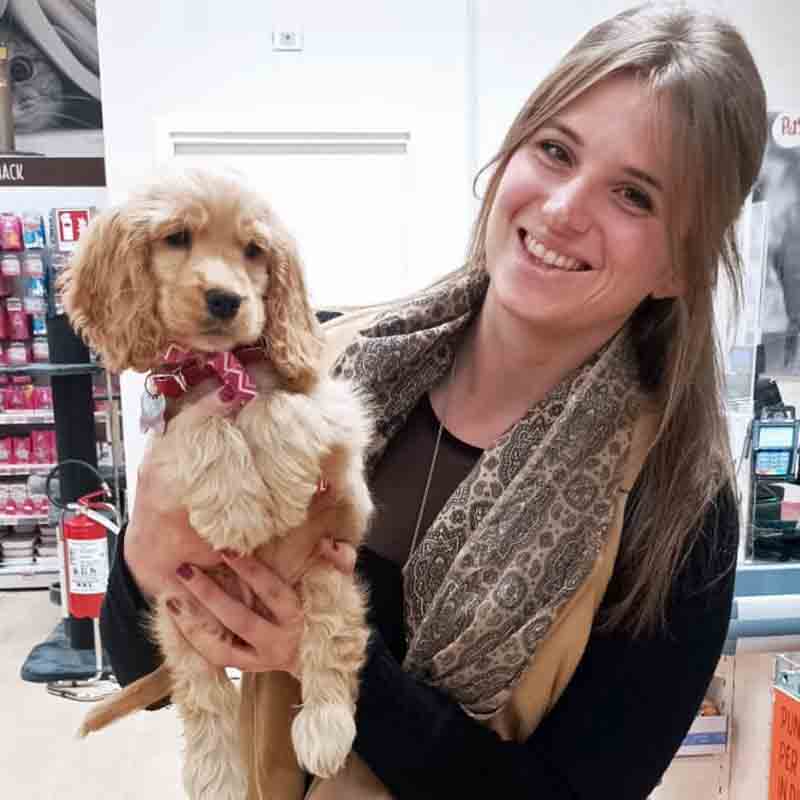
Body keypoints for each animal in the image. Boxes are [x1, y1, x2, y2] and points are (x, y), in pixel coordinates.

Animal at [61, 169, 374, 800]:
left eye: (254, 251)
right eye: (177, 237)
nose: (227, 299)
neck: (217, 367)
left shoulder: (339, 411)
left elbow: (273, 406)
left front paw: (275, 493)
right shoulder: (164, 431)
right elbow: (202, 426)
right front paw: (240, 511)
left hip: (327, 573)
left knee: (333, 643)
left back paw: (324, 729)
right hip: (186, 619)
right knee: (206, 702)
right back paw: (216, 778)